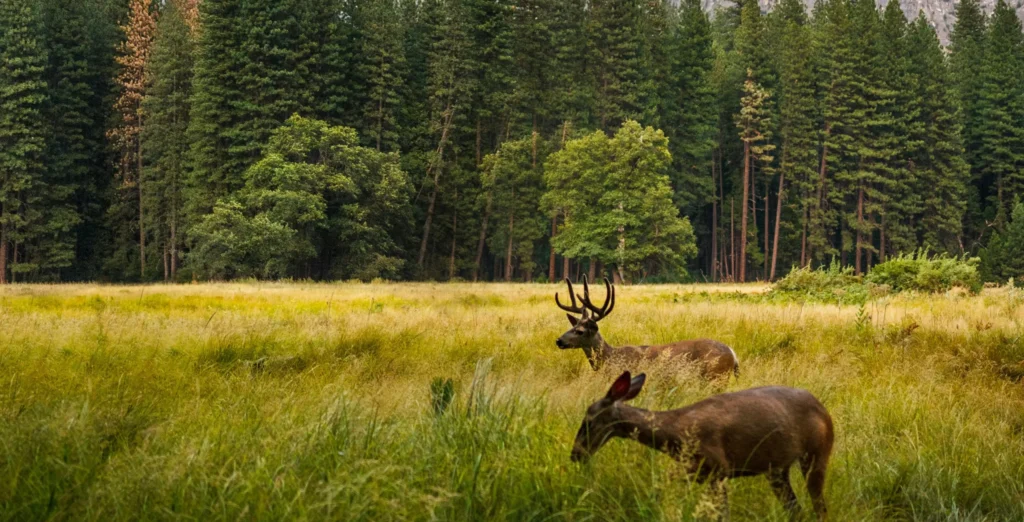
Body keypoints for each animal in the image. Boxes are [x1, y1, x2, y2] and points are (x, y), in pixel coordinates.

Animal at [554, 276, 739, 380]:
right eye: (572, 326)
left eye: (580, 331)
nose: (559, 341)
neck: (609, 358)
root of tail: (733, 353)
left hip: (716, 376)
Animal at [571, 371, 834, 521]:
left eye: (588, 421)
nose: (575, 454)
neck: (676, 434)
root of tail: (823, 410)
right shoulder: (693, 471)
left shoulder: (719, 469)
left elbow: (722, 516)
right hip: (777, 470)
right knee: (796, 509)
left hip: (817, 454)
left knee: (820, 508)